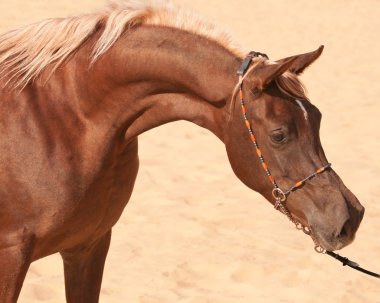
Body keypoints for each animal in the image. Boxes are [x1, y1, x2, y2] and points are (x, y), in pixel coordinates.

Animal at [0, 1, 364, 302]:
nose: (351, 217)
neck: (63, 119)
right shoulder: (11, 256)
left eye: (317, 118)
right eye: (279, 134)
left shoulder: (89, 245)